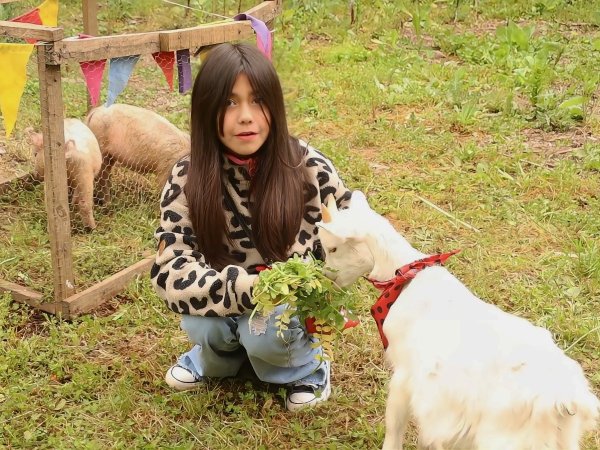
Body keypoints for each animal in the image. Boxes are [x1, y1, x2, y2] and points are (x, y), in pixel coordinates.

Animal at [316, 190, 599, 450]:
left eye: (333, 247)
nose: (327, 277)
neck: (404, 278)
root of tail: (565, 399)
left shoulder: (405, 377)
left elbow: (394, 427)